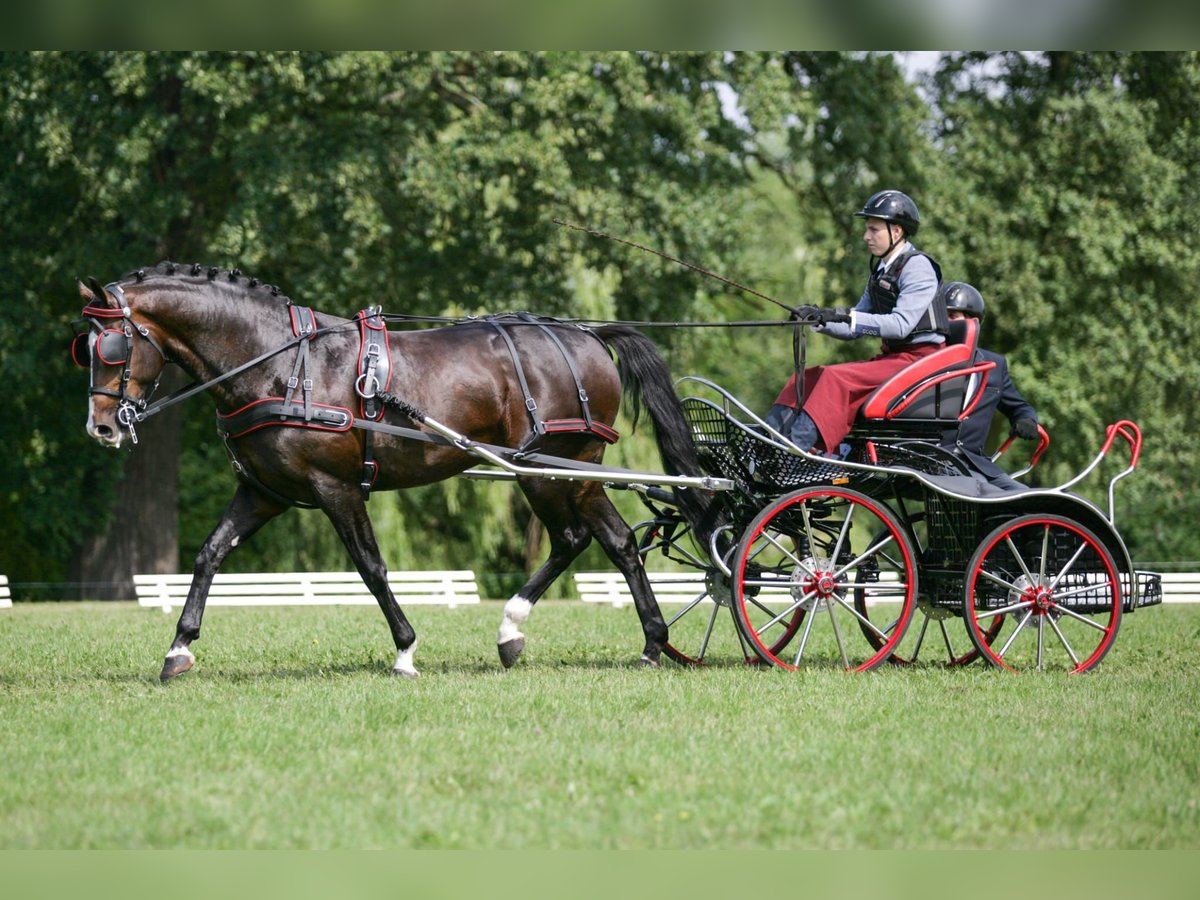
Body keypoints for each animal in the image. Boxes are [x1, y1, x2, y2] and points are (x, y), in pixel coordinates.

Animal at [79, 264, 715, 681]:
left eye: (110, 346)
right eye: (82, 348)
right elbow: (210, 553)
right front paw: (179, 649)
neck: (281, 363)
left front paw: (406, 652)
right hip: (574, 471)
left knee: (574, 536)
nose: (101, 427)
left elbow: (371, 567)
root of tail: (586, 334)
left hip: (547, 469)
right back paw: (650, 643)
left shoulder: (335, 488)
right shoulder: (264, 493)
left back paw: (513, 628)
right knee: (618, 541)